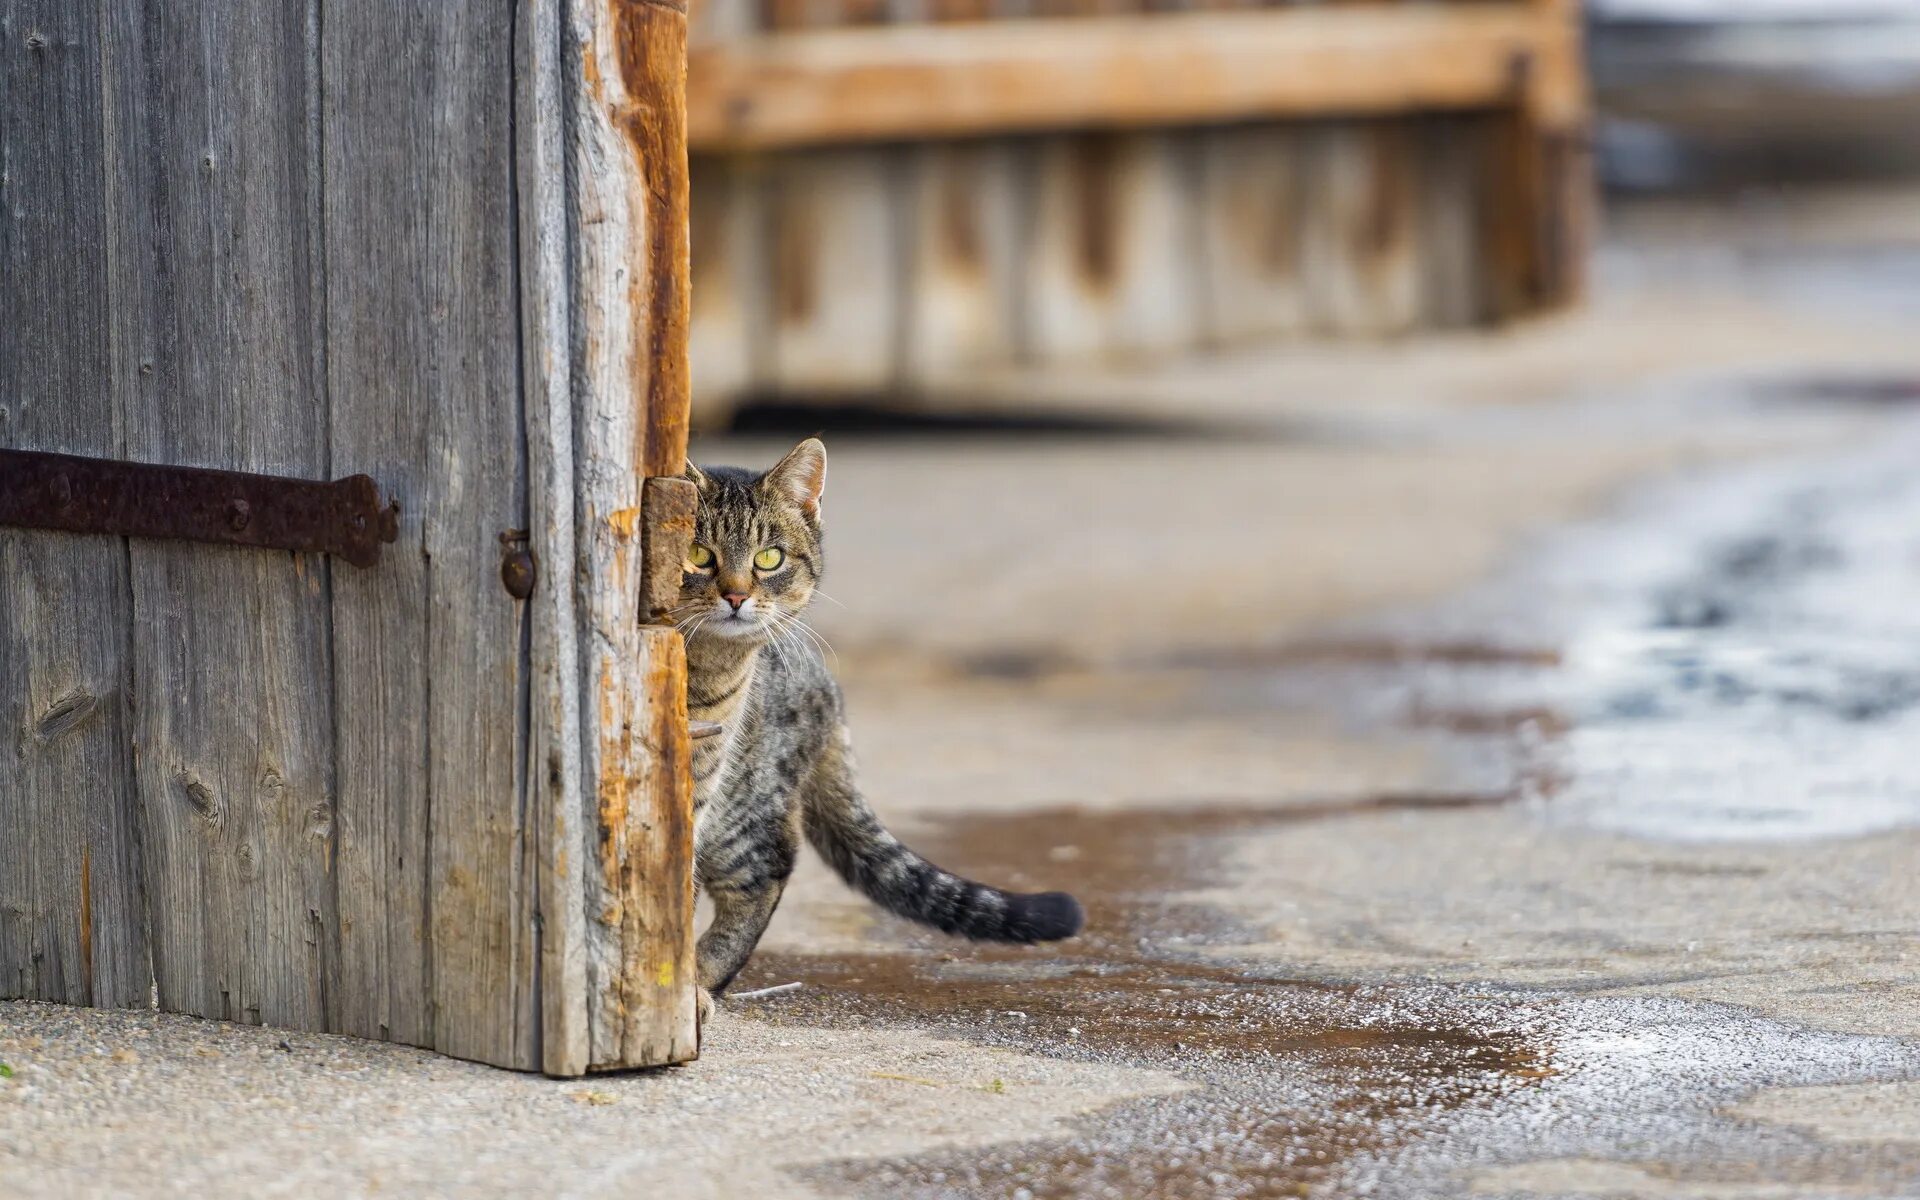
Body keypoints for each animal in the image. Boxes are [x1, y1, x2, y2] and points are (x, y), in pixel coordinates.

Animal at [675, 435, 1082, 1013]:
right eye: (697, 555)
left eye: (769, 558)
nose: (735, 596)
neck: (708, 672)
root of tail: (825, 681)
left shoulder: (703, 781)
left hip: (744, 807)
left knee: (765, 873)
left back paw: (702, 979)